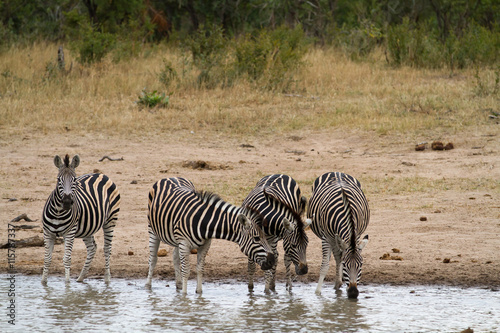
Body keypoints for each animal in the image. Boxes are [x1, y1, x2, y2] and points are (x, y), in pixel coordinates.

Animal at [40, 154, 119, 284]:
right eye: (58, 179)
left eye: (74, 180)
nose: (67, 202)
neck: (58, 212)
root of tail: (101, 175)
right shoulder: (48, 232)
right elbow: (47, 258)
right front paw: (43, 283)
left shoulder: (69, 232)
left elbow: (67, 259)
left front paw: (67, 284)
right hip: (87, 227)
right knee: (92, 248)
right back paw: (81, 277)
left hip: (110, 220)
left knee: (107, 248)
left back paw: (107, 279)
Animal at [145, 176, 278, 294]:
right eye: (257, 238)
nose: (272, 261)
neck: (203, 221)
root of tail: (170, 177)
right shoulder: (184, 243)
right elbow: (186, 270)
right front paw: (184, 296)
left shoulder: (205, 244)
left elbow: (200, 269)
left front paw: (199, 293)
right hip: (153, 231)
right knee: (153, 259)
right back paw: (148, 286)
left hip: (176, 239)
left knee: (174, 257)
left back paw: (178, 284)